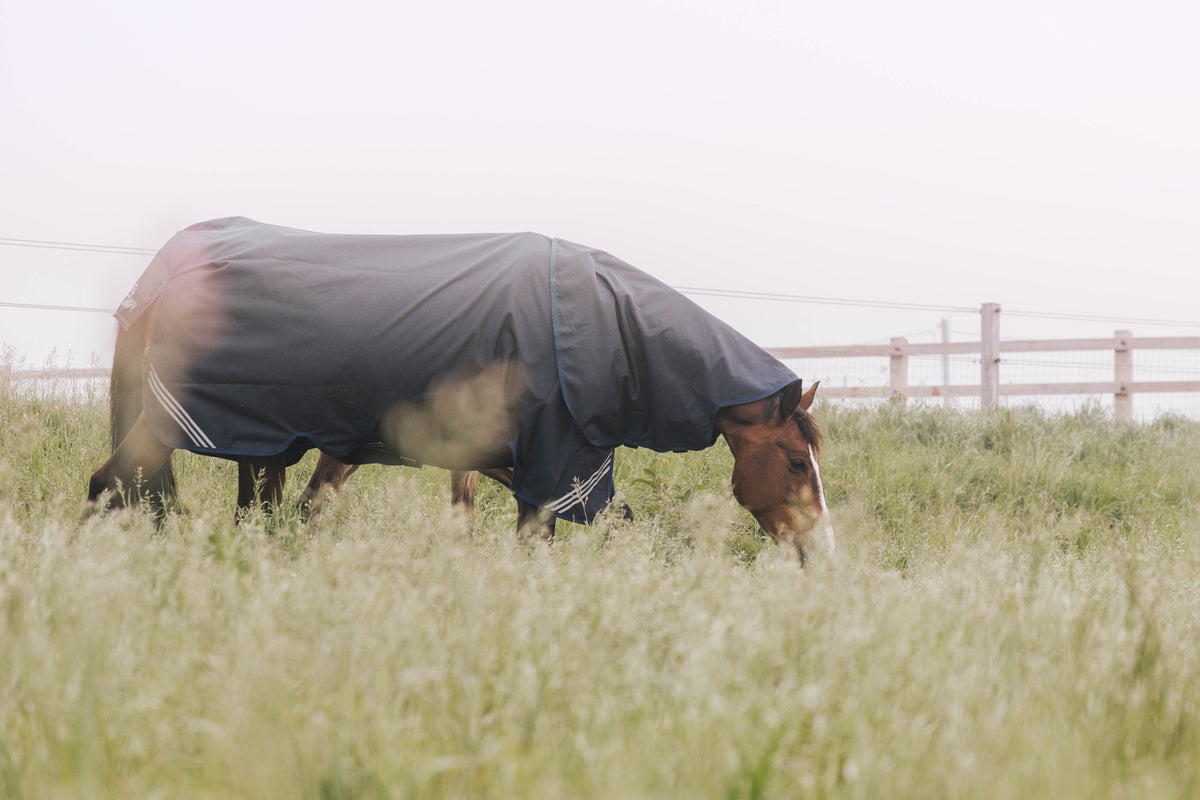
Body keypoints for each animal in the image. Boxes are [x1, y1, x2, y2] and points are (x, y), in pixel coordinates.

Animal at [85, 218, 833, 561]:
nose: (821, 554)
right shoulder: (552, 465)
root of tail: (171, 268)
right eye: (798, 463)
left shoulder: (505, 463)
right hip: (173, 428)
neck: (603, 330)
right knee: (105, 485)